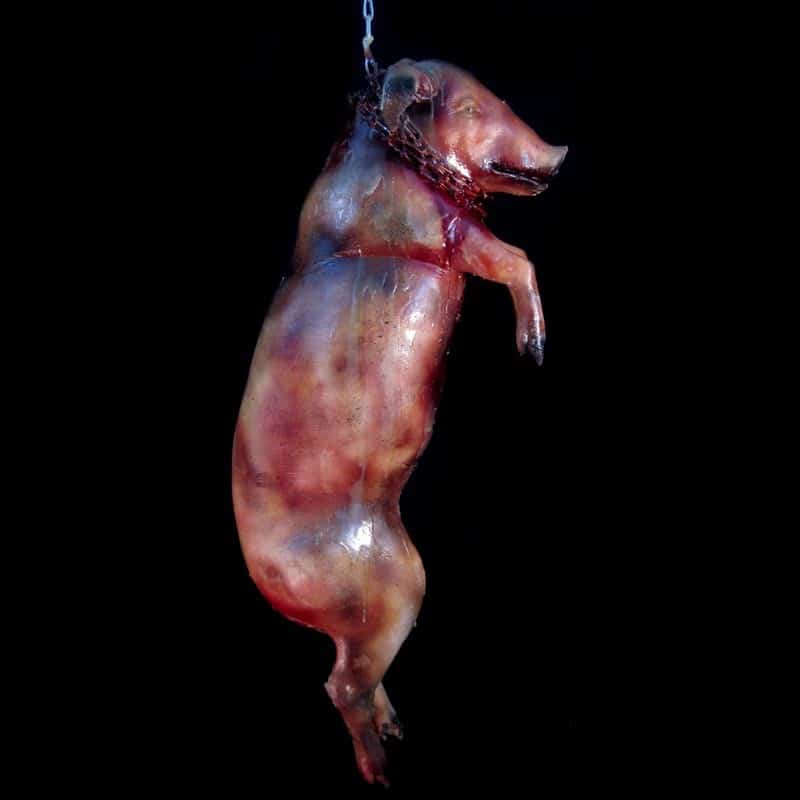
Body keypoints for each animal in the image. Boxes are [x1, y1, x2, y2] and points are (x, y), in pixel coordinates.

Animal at [232, 58, 567, 785]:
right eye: (468, 108)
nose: (561, 150)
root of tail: (270, 581)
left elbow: (512, 255)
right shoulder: (438, 231)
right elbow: (513, 257)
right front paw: (532, 353)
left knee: (349, 670)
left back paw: (397, 731)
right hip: (395, 585)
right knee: (340, 683)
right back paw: (382, 770)